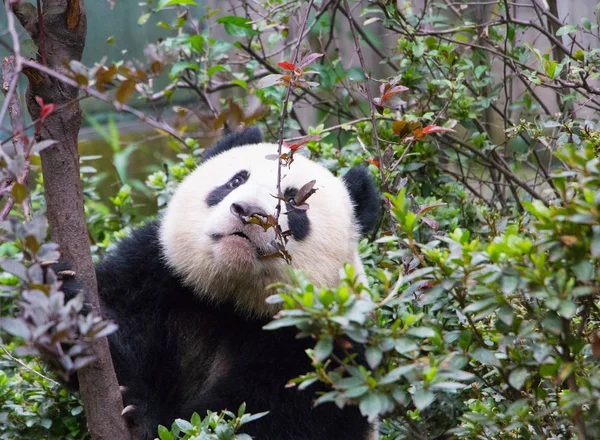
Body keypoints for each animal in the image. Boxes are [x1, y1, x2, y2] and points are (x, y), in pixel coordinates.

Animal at [62, 126, 380, 436]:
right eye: (236, 180)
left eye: (293, 202)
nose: (248, 211)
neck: (231, 297)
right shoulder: (158, 271)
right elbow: (118, 311)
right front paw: (67, 303)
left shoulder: (326, 344)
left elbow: (261, 416)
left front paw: (142, 417)